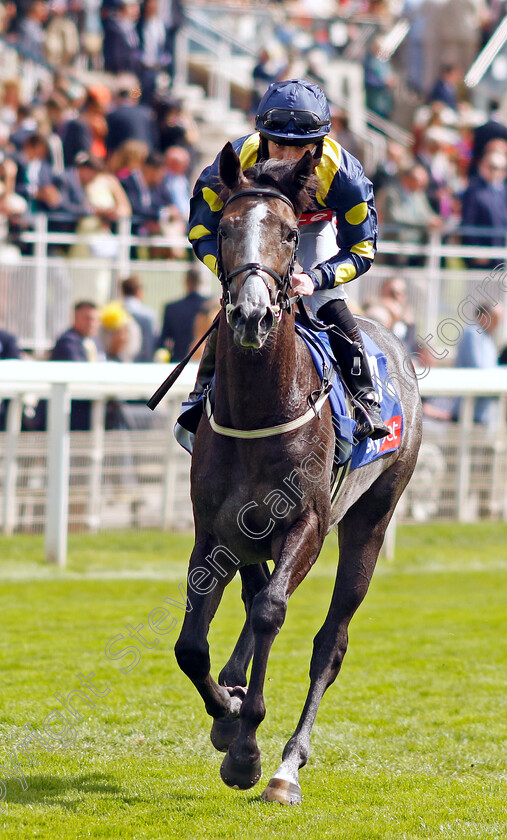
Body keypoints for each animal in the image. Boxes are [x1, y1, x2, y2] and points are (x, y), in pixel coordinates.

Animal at [173, 146, 422, 808]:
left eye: (288, 233)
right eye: (227, 228)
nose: (252, 314)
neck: (262, 408)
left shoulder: (308, 523)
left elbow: (271, 613)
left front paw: (248, 752)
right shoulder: (213, 529)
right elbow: (191, 645)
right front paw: (228, 713)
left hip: (369, 521)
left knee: (328, 643)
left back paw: (288, 765)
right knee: (251, 590)